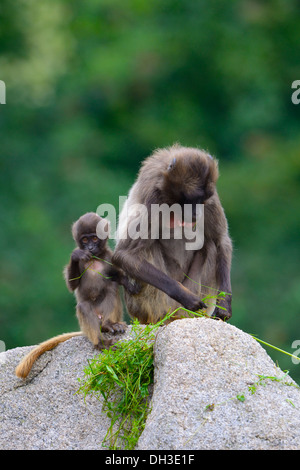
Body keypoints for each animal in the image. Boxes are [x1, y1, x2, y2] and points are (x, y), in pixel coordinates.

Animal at [15, 212, 137, 378]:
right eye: (84, 240)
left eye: (94, 238)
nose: (90, 247)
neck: (94, 259)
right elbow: (72, 285)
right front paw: (76, 256)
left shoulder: (108, 257)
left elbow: (116, 276)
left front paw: (128, 283)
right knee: (84, 306)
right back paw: (100, 342)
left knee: (111, 289)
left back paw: (109, 324)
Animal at [112, 145, 232, 324]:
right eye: (191, 199)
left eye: (202, 199)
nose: (196, 213)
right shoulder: (152, 197)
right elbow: (124, 254)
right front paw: (184, 295)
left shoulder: (211, 198)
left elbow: (221, 240)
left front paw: (225, 303)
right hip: (149, 303)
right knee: (147, 246)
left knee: (210, 245)